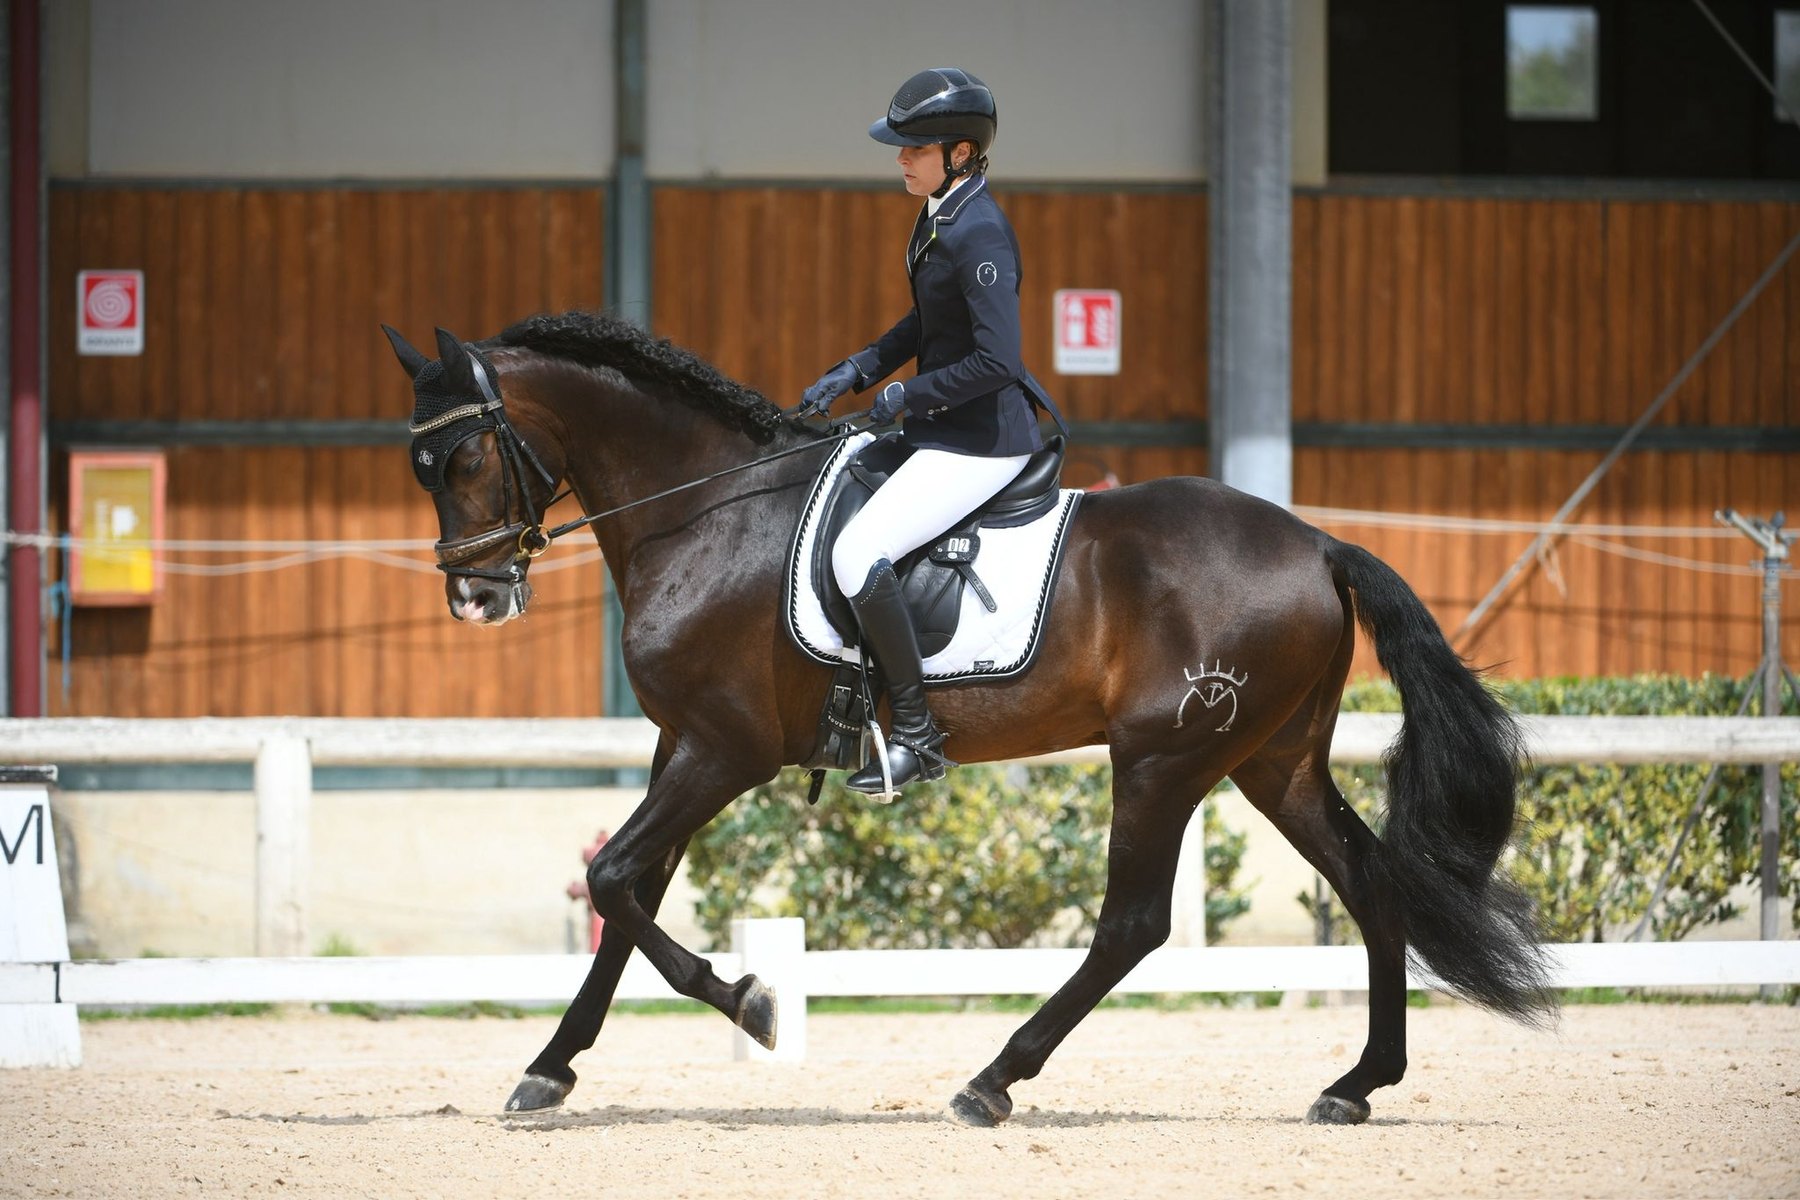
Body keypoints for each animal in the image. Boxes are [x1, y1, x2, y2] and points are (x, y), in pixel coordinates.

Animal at [383, 312, 1553, 1127]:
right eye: (421, 466)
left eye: (466, 458)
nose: (475, 597)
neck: (708, 511)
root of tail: (1318, 543)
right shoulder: (683, 748)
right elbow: (623, 905)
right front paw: (549, 1070)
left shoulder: (724, 751)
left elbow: (617, 881)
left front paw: (753, 1004)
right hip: (1272, 761)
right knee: (1368, 882)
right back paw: (1356, 1084)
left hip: (1167, 757)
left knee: (1133, 924)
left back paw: (992, 1081)